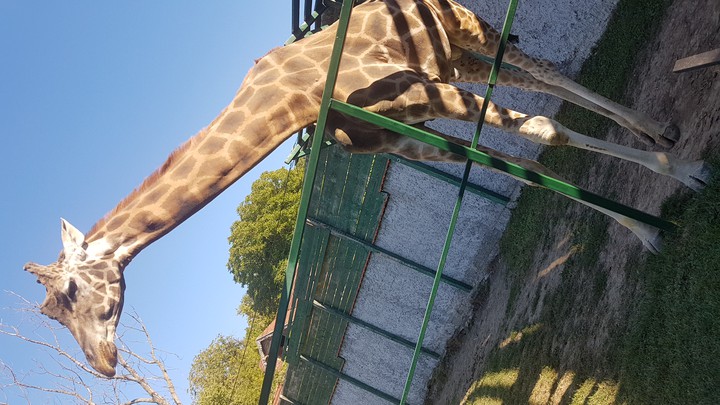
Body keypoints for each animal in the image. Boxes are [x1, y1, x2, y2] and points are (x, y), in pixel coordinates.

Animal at [25, 0, 710, 377]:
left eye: (72, 291)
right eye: (52, 315)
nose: (105, 366)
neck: (297, 101)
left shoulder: (429, 94)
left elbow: (544, 131)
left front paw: (675, 187)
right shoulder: (406, 131)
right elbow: (510, 154)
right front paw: (645, 221)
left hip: (463, 29)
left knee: (541, 73)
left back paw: (664, 142)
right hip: (453, 55)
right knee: (538, 76)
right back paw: (658, 128)